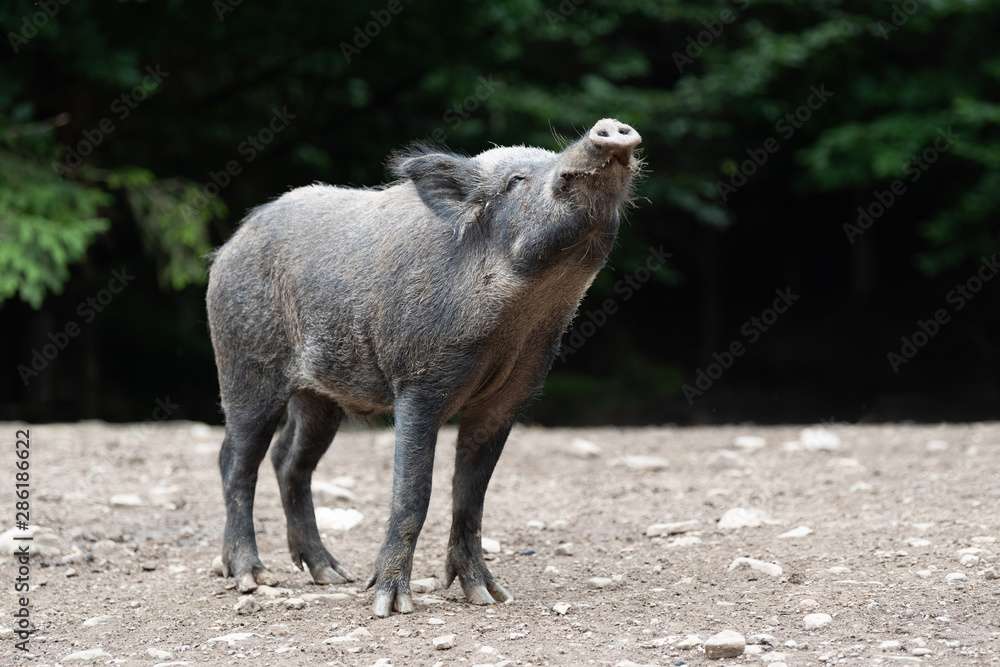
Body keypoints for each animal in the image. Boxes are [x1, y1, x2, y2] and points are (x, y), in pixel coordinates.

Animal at [206, 118, 642, 617]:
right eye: (515, 181)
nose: (608, 128)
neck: (524, 316)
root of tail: (229, 245)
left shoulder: (509, 398)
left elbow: (471, 496)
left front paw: (488, 596)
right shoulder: (417, 385)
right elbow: (413, 492)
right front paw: (389, 604)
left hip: (320, 396)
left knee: (289, 460)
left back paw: (331, 574)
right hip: (245, 366)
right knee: (236, 461)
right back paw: (251, 578)